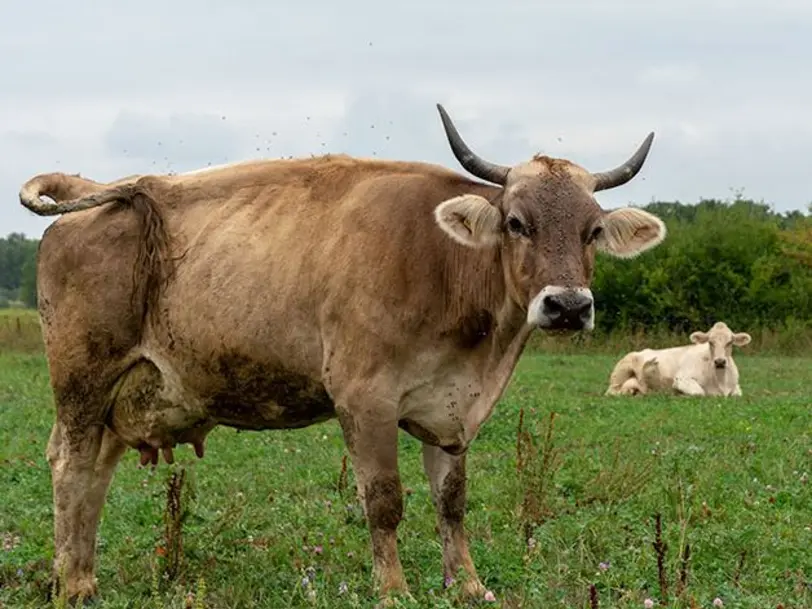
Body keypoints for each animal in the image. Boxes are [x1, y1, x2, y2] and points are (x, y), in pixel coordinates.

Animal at [20, 103, 668, 604]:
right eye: (516, 222)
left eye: (592, 230)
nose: (567, 306)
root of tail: (95, 192)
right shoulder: (364, 398)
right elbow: (384, 501)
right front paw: (394, 589)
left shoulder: (452, 409)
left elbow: (452, 503)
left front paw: (467, 584)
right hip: (82, 381)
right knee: (71, 467)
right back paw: (71, 585)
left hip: (120, 398)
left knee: (96, 473)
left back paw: (81, 575)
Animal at [604, 320, 756, 396]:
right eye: (710, 342)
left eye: (730, 342)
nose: (719, 361)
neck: (720, 381)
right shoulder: (682, 379)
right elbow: (699, 392)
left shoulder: (736, 387)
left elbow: (737, 394)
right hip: (622, 370)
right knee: (612, 391)